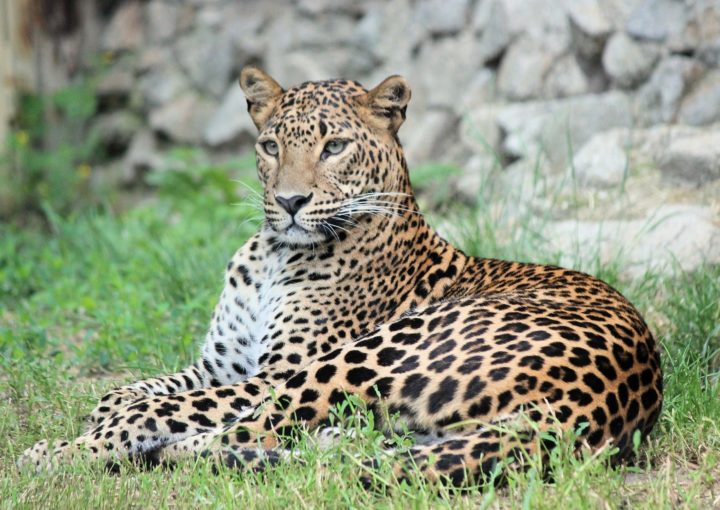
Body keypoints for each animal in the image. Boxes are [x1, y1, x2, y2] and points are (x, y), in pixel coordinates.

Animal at [18, 67, 664, 486]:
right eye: (270, 146)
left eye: (334, 147)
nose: (290, 201)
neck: (273, 254)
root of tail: (599, 407)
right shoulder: (220, 365)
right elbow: (131, 390)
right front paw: (110, 408)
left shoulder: (270, 372)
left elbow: (165, 407)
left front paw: (87, 437)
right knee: (330, 438)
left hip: (360, 358)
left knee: (252, 432)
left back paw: (70, 453)